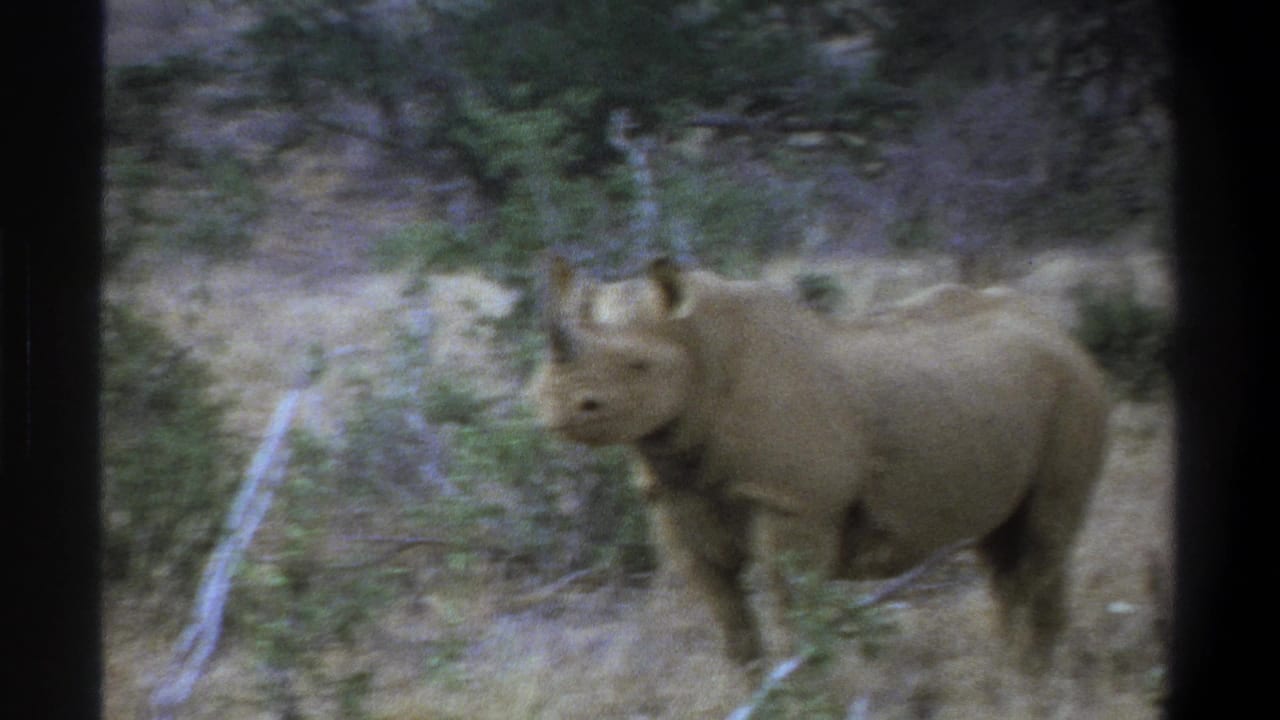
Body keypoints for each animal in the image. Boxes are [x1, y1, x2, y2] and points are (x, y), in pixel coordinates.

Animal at [531, 257, 1108, 673]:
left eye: (639, 366)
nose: (556, 406)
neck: (698, 348)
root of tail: (1059, 330)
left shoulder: (794, 503)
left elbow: (792, 617)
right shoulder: (676, 496)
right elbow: (731, 625)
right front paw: (754, 690)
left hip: (1076, 389)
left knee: (1045, 538)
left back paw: (1034, 683)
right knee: (1000, 551)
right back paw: (1009, 673)